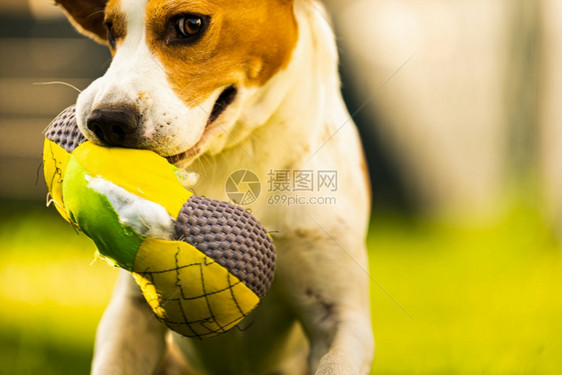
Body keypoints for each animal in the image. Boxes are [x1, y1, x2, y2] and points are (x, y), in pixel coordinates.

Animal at [55, 0, 372, 374]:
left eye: (190, 24)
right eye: (109, 30)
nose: (105, 121)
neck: (241, 157)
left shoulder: (341, 317)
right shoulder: (131, 312)